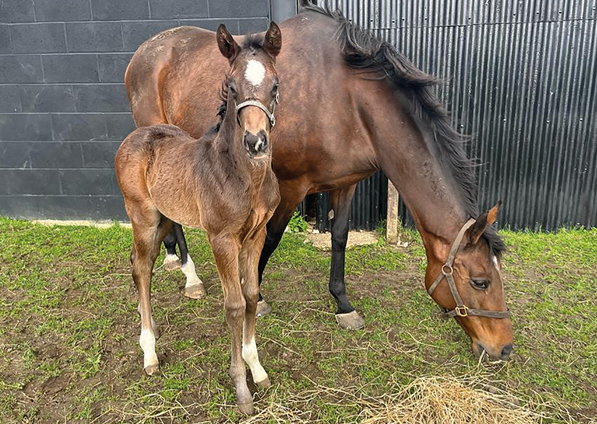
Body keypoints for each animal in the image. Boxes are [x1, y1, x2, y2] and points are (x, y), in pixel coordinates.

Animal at [117, 23, 284, 414]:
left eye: (275, 85)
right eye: (231, 86)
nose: (256, 142)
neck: (245, 176)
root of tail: (136, 135)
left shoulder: (256, 235)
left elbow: (251, 295)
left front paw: (257, 369)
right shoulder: (221, 238)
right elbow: (234, 305)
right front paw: (241, 388)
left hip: (165, 216)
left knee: (142, 261)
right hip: (142, 217)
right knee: (140, 268)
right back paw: (149, 352)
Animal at [124, 4, 512, 360]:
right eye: (480, 281)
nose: (503, 348)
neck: (347, 99)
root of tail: (144, 52)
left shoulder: (346, 182)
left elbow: (339, 236)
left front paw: (342, 303)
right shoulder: (290, 186)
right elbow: (271, 240)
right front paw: (258, 299)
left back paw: (174, 260)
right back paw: (190, 276)